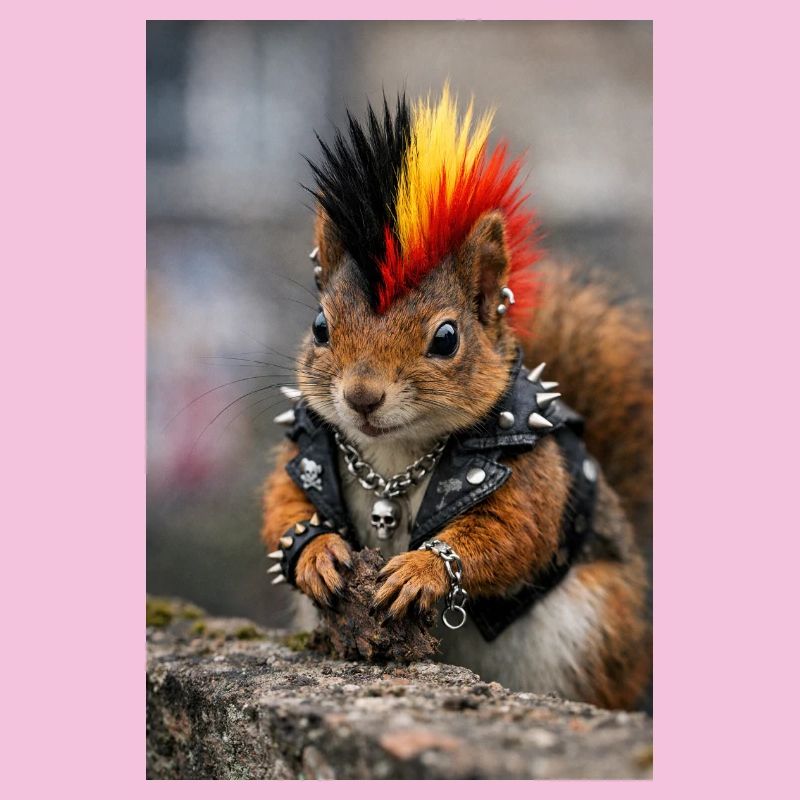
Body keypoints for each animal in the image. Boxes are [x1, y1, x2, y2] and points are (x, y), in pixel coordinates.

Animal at [260, 86, 652, 710]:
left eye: (446, 338)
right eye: (320, 326)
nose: (362, 396)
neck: (395, 456)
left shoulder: (531, 472)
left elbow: (511, 531)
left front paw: (423, 569)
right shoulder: (307, 444)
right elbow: (284, 503)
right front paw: (317, 551)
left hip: (592, 637)